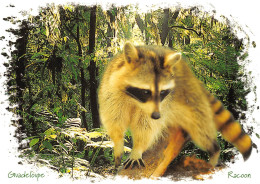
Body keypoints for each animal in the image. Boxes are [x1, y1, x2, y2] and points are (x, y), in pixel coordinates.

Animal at [98, 41, 252, 171]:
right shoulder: (111, 91)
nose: (156, 115)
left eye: (162, 92)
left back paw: (214, 150)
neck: (135, 100)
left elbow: (146, 127)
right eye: (146, 92)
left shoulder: (163, 103)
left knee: (202, 132)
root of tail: (194, 79)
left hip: (193, 103)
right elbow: (115, 120)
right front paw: (118, 144)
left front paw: (138, 149)